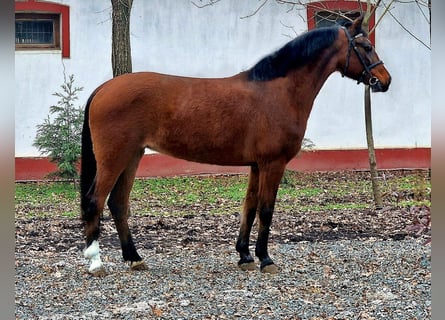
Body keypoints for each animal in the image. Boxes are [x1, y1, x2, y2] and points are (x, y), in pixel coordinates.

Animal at [80, 16, 388, 274]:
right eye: (366, 46)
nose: (385, 80)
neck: (278, 91)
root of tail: (104, 88)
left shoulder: (256, 165)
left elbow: (249, 207)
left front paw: (245, 256)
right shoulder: (273, 164)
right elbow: (266, 210)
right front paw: (265, 259)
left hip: (133, 156)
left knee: (118, 203)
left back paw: (134, 258)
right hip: (115, 157)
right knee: (96, 200)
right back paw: (96, 262)